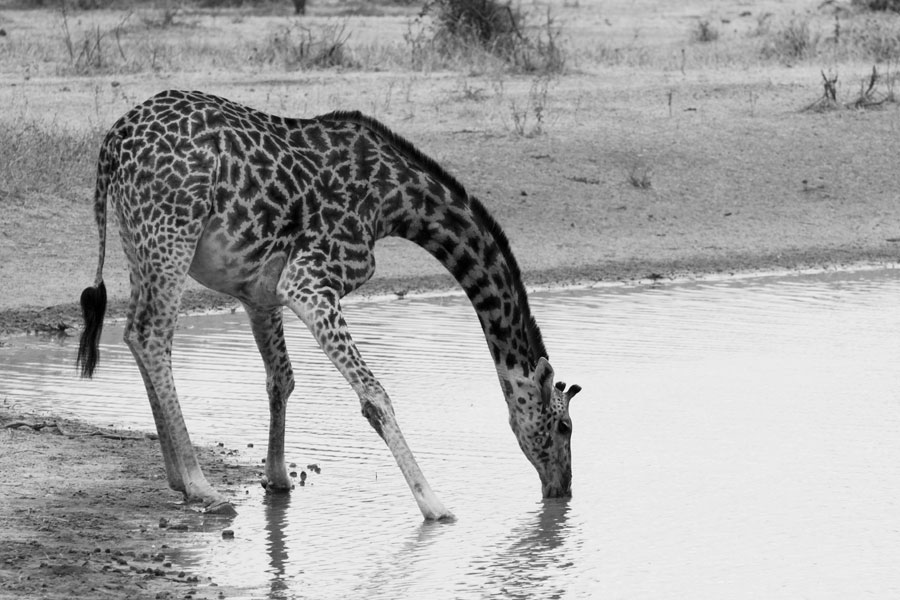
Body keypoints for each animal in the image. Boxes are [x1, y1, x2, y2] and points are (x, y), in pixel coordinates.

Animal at [77, 89, 581, 520]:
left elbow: (281, 379)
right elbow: (375, 397)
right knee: (153, 337)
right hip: (171, 234)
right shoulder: (309, 284)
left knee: (134, 334)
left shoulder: (259, 290)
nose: (562, 488)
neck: (393, 204)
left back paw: (177, 479)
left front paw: (277, 479)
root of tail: (114, 142)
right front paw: (435, 506)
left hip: (139, 241)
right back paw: (203, 487)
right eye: (564, 428)